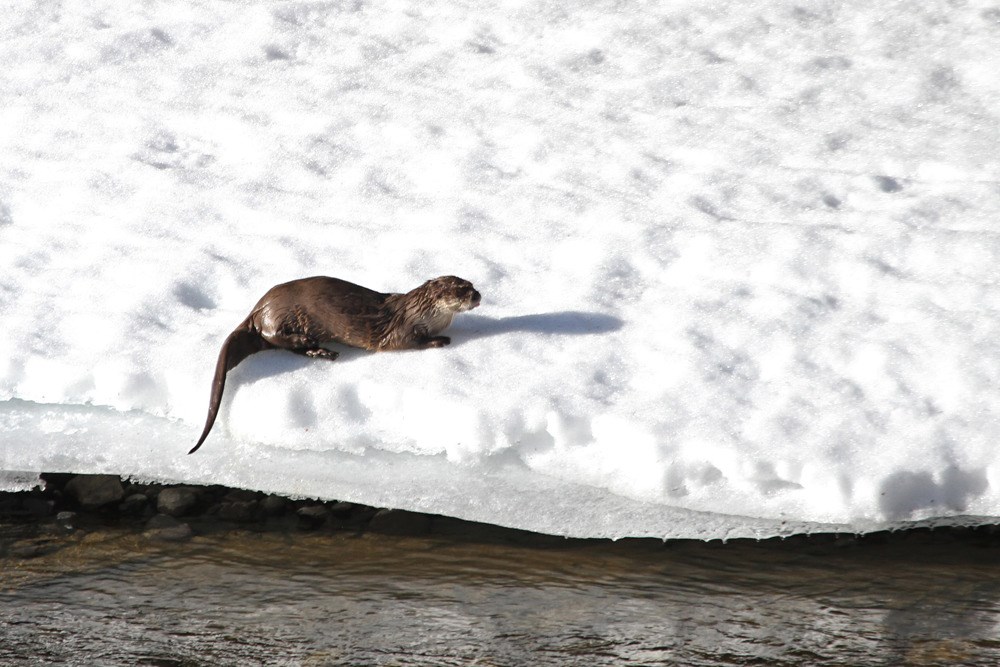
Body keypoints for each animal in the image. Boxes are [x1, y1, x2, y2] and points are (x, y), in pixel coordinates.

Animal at [192, 276, 484, 454]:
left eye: (472, 284)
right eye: (461, 289)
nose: (478, 295)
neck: (419, 312)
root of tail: (258, 307)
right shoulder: (401, 331)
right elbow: (408, 342)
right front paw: (439, 340)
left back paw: (319, 350)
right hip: (280, 314)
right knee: (272, 335)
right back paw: (309, 341)